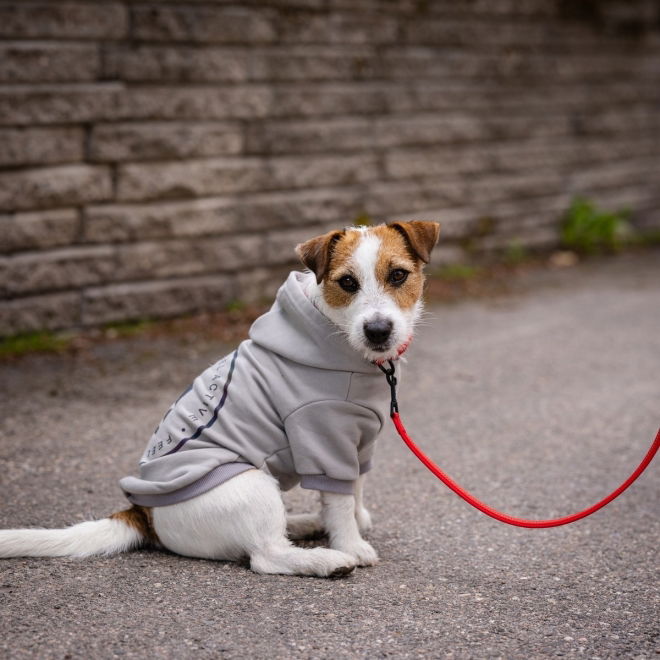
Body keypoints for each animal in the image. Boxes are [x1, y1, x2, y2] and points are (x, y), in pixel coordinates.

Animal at [1, 220, 444, 576]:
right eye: (347, 283)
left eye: (398, 275)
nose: (378, 330)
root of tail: (143, 514)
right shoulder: (324, 438)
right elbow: (338, 497)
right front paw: (350, 542)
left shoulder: (360, 440)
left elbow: (355, 488)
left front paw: (355, 519)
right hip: (251, 483)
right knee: (265, 556)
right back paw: (327, 559)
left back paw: (305, 523)